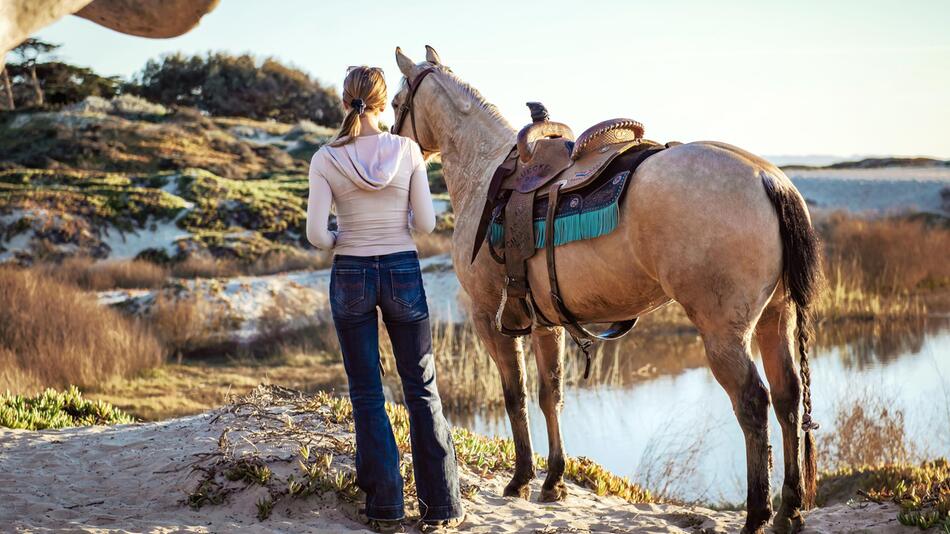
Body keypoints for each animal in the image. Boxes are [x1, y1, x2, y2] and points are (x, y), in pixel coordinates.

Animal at [390, 47, 820, 534]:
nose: (394, 142)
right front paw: (553, 481)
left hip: (723, 334)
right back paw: (788, 510)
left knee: (753, 404)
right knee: (788, 398)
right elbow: (551, 394)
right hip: (775, 318)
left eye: (396, 103)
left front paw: (520, 479)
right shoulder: (546, 324)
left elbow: (515, 396)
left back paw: (757, 514)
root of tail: (768, 179)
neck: (486, 172)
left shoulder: (490, 319)